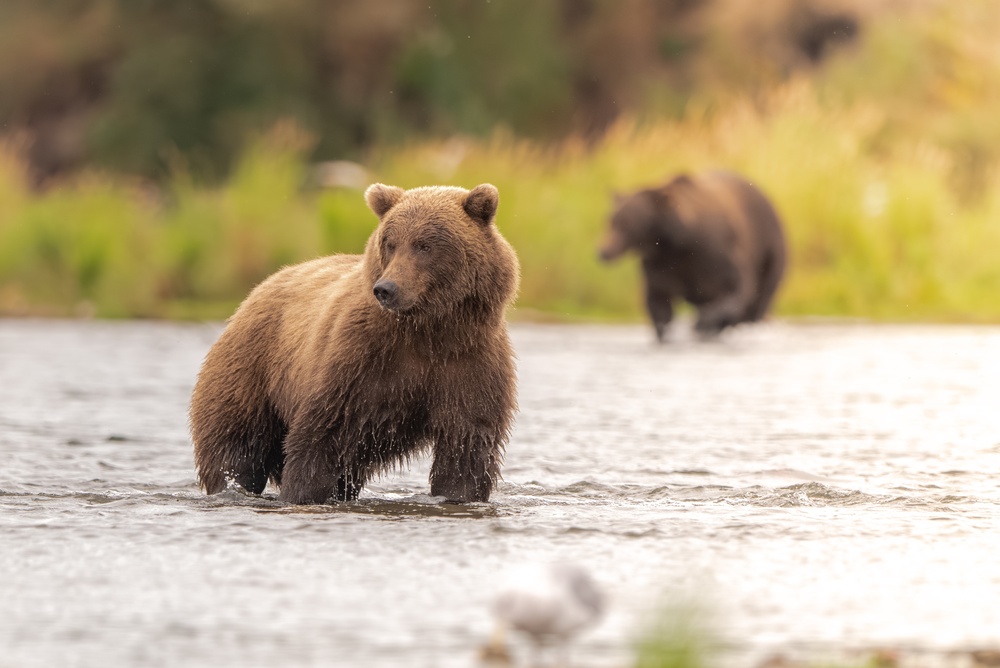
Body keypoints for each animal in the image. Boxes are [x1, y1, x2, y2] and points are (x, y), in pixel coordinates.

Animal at [189, 183, 519, 505]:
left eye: (425, 245)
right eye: (390, 243)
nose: (386, 288)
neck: (427, 331)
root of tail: (256, 291)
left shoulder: (469, 363)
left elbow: (465, 451)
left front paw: (457, 492)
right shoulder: (358, 361)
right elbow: (319, 438)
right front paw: (302, 493)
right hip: (251, 370)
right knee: (235, 448)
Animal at [598, 171, 787, 341]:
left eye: (626, 222)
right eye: (611, 220)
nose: (602, 252)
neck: (679, 241)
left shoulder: (718, 255)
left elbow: (736, 289)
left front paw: (701, 324)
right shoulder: (661, 264)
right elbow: (659, 301)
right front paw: (664, 331)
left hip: (769, 247)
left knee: (761, 296)